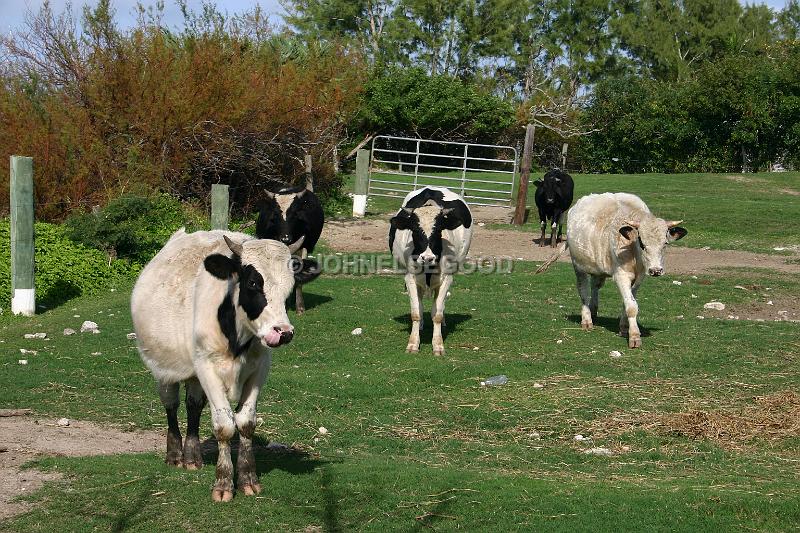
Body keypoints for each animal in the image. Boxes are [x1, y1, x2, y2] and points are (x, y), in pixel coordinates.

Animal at [131, 228, 318, 498]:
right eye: (253, 283)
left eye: (290, 285)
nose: (283, 332)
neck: (236, 335)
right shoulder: (207, 368)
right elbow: (224, 426)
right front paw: (223, 482)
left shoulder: (259, 369)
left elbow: (245, 422)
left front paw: (248, 477)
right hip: (163, 367)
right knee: (171, 404)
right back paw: (175, 454)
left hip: (195, 372)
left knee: (193, 405)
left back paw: (192, 456)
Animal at [390, 185, 472, 356]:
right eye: (414, 229)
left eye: (439, 229)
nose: (427, 257)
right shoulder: (410, 277)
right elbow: (416, 312)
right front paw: (413, 344)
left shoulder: (447, 277)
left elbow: (437, 314)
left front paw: (438, 345)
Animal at [536, 193, 688, 348]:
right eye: (641, 243)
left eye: (665, 243)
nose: (656, 270)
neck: (634, 255)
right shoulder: (621, 275)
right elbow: (632, 306)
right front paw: (634, 336)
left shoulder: (639, 278)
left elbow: (628, 303)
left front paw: (624, 328)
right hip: (578, 265)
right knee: (583, 290)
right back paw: (587, 319)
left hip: (597, 266)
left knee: (595, 287)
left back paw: (593, 310)